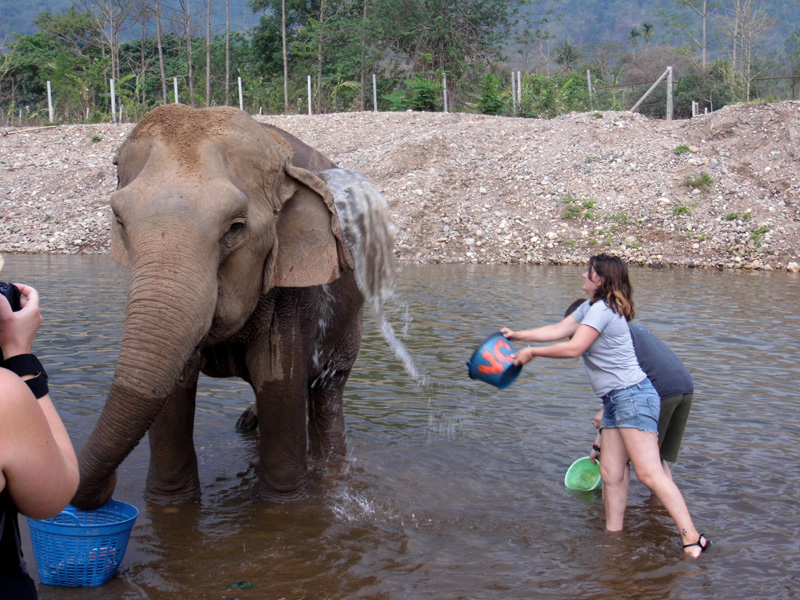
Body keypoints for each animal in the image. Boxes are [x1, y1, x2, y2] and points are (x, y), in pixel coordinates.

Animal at [71, 104, 397, 509]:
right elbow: (174, 389)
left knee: (328, 391)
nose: (107, 485)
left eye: (235, 228)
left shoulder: (294, 295)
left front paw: (283, 506)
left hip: (351, 321)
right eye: (119, 220)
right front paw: (171, 505)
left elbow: (280, 386)